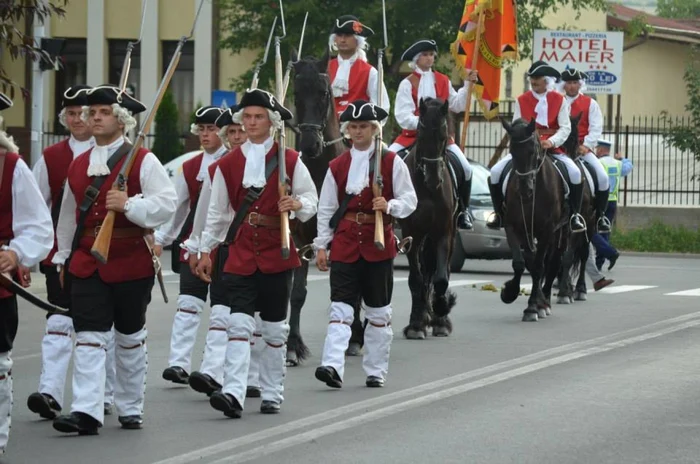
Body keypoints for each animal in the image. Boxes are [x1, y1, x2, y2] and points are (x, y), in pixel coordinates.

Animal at [498, 118, 568, 320]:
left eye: (533, 151)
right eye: (512, 151)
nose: (525, 190)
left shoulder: (547, 230)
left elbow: (538, 266)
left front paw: (532, 307)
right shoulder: (514, 228)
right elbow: (521, 263)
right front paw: (510, 292)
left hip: (562, 232)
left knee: (553, 263)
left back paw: (545, 301)